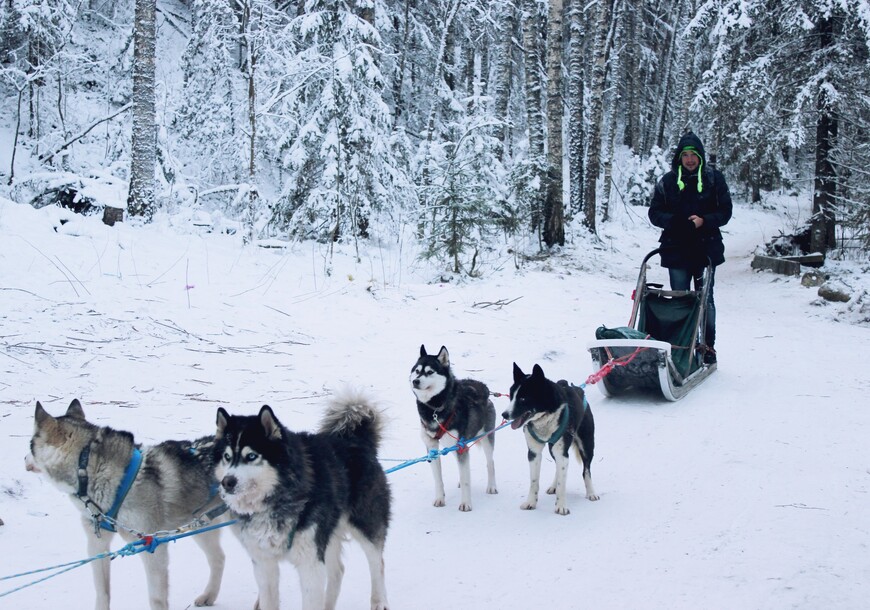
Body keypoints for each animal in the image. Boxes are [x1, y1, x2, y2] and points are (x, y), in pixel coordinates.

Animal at [26, 400, 227, 608]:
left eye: (30, 445)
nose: (24, 459)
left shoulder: (152, 546)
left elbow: (156, 599)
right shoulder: (97, 543)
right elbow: (102, 592)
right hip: (201, 525)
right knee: (218, 558)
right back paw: (209, 595)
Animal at [216, 390, 394, 608]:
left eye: (251, 456)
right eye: (226, 456)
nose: (227, 482)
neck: (276, 499)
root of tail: (356, 440)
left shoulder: (310, 563)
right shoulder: (264, 564)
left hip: (365, 525)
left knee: (377, 563)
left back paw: (379, 601)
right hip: (328, 533)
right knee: (338, 571)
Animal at [408, 344, 498, 510]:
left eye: (430, 372)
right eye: (417, 371)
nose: (415, 381)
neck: (434, 408)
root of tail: (483, 387)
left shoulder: (461, 447)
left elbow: (466, 479)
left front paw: (466, 503)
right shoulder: (432, 448)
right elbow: (438, 479)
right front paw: (439, 499)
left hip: (486, 438)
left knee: (490, 463)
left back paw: (492, 486)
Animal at [504, 364, 600, 510]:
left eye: (523, 399)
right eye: (511, 397)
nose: (504, 414)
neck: (545, 416)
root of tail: (576, 388)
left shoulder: (562, 452)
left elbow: (563, 484)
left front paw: (561, 506)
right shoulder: (534, 453)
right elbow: (534, 481)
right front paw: (531, 502)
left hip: (586, 445)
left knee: (586, 470)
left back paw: (591, 492)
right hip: (553, 449)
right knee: (558, 468)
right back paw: (554, 486)